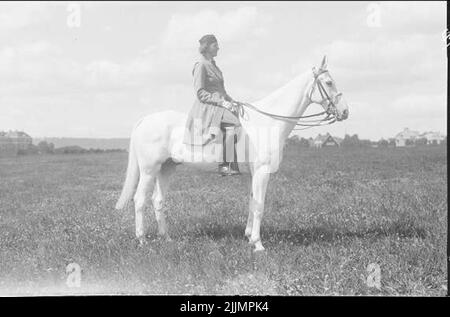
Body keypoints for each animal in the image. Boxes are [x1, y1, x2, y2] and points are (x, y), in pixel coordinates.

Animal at [115, 55, 348, 251]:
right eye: (329, 82)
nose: (345, 112)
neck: (267, 122)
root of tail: (145, 119)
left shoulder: (254, 174)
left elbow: (252, 203)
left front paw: (249, 237)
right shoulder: (262, 173)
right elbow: (260, 206)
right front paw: (258, 245)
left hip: (166, 168)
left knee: (158, 201)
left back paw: (167, 238)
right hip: (149, 170)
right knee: (140, 200)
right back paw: (142, 240)